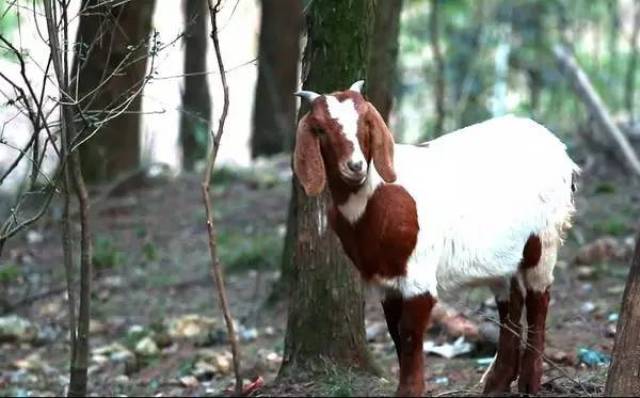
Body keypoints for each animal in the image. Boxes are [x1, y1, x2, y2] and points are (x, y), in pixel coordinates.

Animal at [292, 80, 576, 394]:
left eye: (366, 122)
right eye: (320, 129)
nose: (355, 166)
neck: (375, 196)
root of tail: (556, 145)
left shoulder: (419, 273)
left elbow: (410, 332)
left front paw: (410, 391)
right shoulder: (384, 280)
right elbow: (394, 330)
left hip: (544, 236)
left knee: (539, 298)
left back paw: (528, 383)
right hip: (504, 253)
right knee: (511, 302)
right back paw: (497, 383)